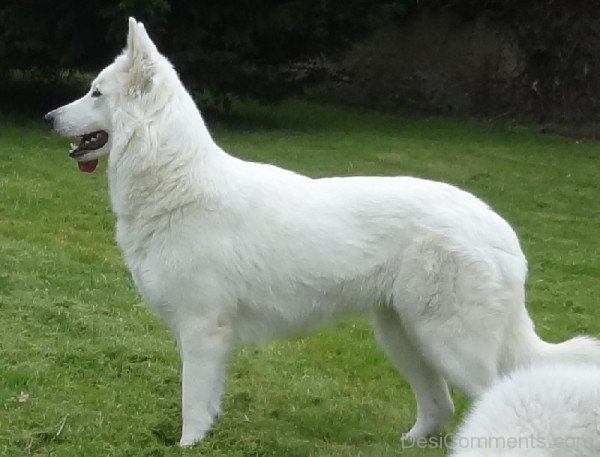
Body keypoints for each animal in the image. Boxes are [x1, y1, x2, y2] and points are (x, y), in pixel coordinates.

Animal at [43, 17, 600, 446]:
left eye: (95, 92)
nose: (48, 117)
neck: (177, 181)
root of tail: (499, 228)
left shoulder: (202, 331)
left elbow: (192, 406)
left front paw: (186, 445)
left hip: (448, 343)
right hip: (403, 336)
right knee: (440, 405)